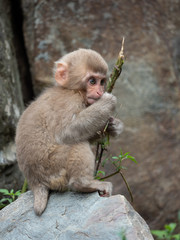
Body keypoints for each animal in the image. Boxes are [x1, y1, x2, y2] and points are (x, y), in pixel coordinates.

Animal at [15, 48, 123, 216]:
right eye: (92, 81)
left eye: (101, 81)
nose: (99, 92)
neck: (72, 90)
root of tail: (34, 182)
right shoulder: (69, 101)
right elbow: (67, 132)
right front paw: (107, 102)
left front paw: (112, 126)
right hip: (52, 167)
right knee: (76, 145)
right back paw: (83, 184)